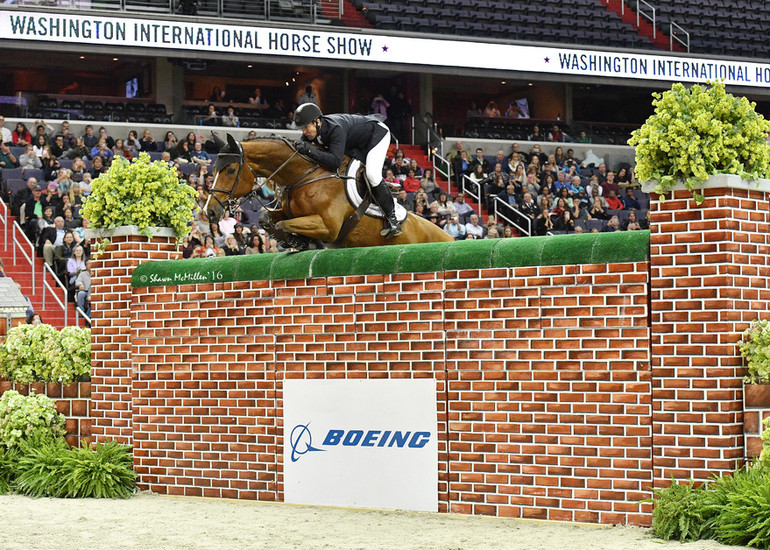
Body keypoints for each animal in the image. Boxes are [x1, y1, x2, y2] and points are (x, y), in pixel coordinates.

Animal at [206, 134, 456, 250]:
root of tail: (451, 238)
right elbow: (268, 219)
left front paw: (298, 241)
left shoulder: (328, 226)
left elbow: (283, 225)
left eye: (230, 170)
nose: (210, 212)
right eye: (214, 170)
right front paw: (296, 241)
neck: (304, 176)